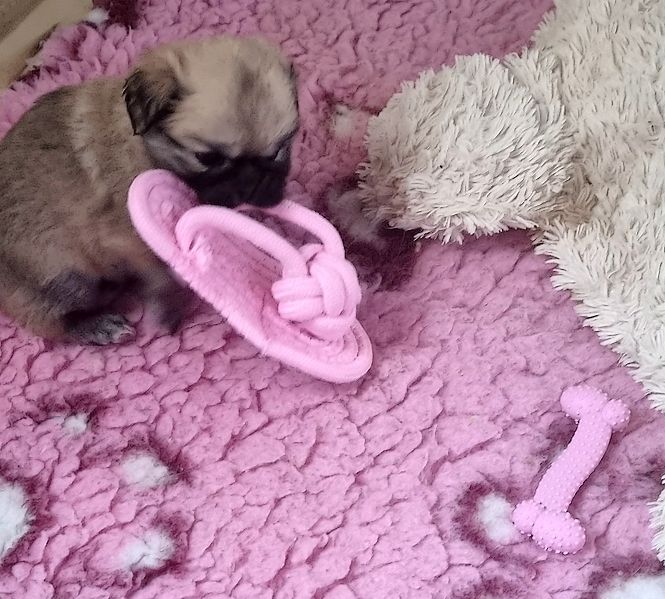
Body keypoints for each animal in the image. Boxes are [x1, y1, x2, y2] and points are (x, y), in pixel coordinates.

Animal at [0, 36, 299, 345]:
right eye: (207, 158)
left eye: (279, 150)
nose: (252, 183)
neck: (148, 150)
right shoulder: (130, 244)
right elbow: (160, 278)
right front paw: (167, 312)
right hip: (70, 278)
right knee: (53, 323)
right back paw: (100, 326)